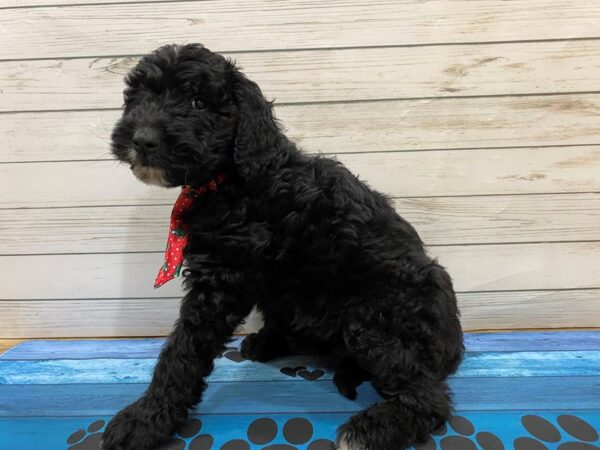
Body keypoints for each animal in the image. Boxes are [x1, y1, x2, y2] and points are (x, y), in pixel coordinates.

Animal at [104, 43, 464, 450]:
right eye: (138, 97)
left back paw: (370, 430)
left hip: (374, 318)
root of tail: (453, 347)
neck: (231, 179)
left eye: (198, 102)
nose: (142, 139)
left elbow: (182, 353)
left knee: (428, 397)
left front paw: (144, 421)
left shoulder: (222, 281)